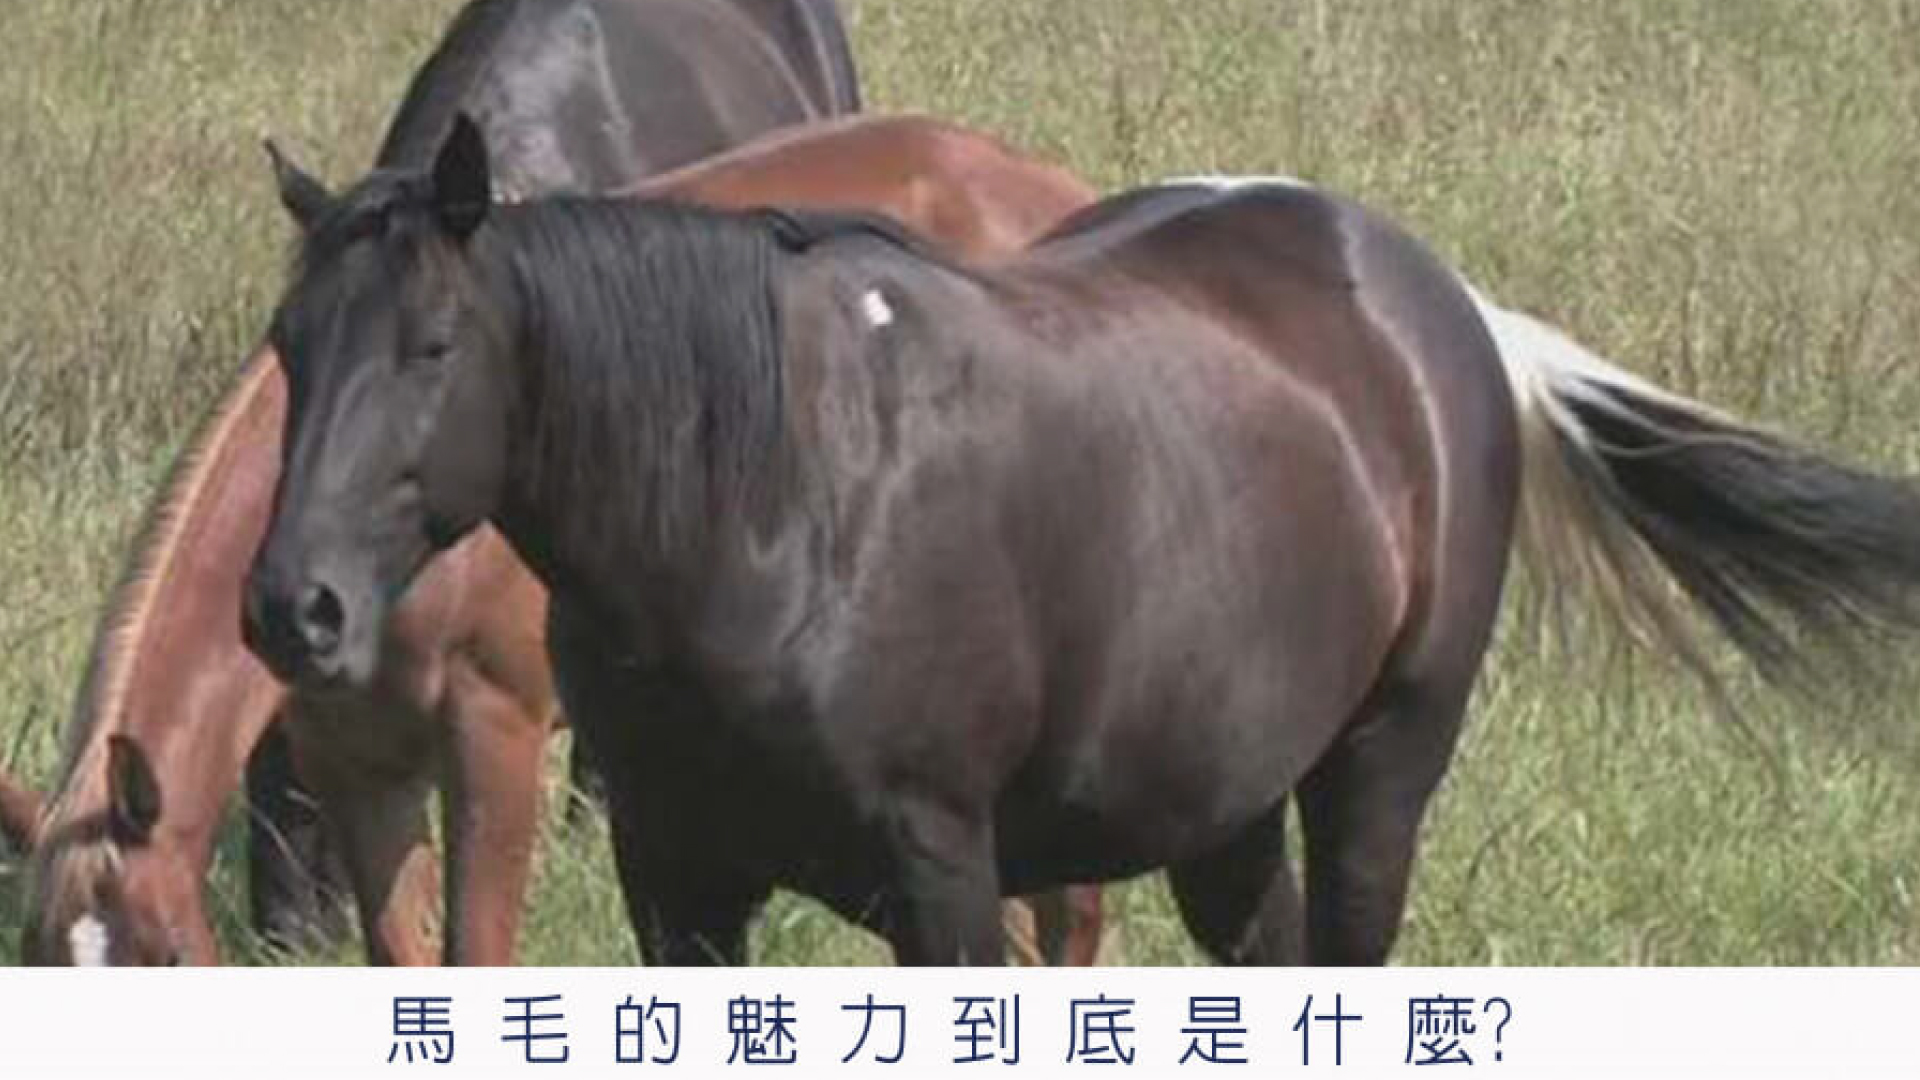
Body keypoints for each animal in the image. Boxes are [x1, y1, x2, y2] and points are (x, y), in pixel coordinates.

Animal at [247, 116, 1920, 965]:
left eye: (434, 347)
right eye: (292, 346)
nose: (291, 610)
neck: (772, 517)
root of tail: (1448, 311)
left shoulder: (940, 877)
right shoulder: (683, 882)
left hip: (1380, 769)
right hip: (1222, 799)